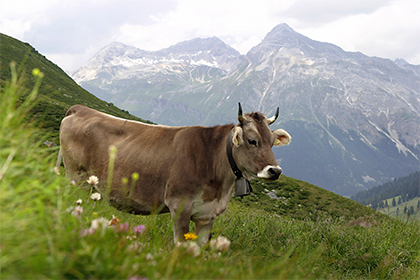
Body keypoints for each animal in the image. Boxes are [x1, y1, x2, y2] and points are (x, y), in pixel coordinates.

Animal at [57, 103, 290, 245]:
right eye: (252, 141)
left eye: (272, 142)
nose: (275, 170)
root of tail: (81, 109)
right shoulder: (179, 205)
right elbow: (180, 245)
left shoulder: (208, 215)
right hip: (75, 176)